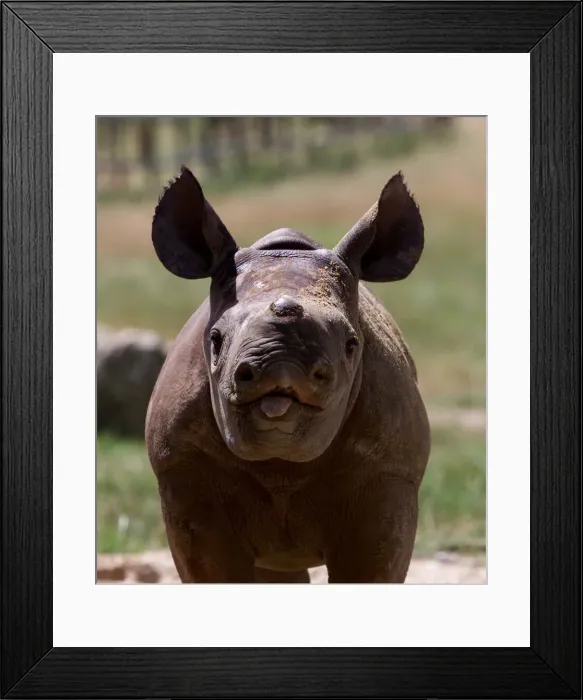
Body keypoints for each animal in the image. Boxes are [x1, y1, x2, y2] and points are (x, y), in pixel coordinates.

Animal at [145, 167, 430, 583]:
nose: (281, 367)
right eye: (215, 340)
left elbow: (372, 565)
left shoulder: (388, 472)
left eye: (352, 344)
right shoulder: (184, 470)